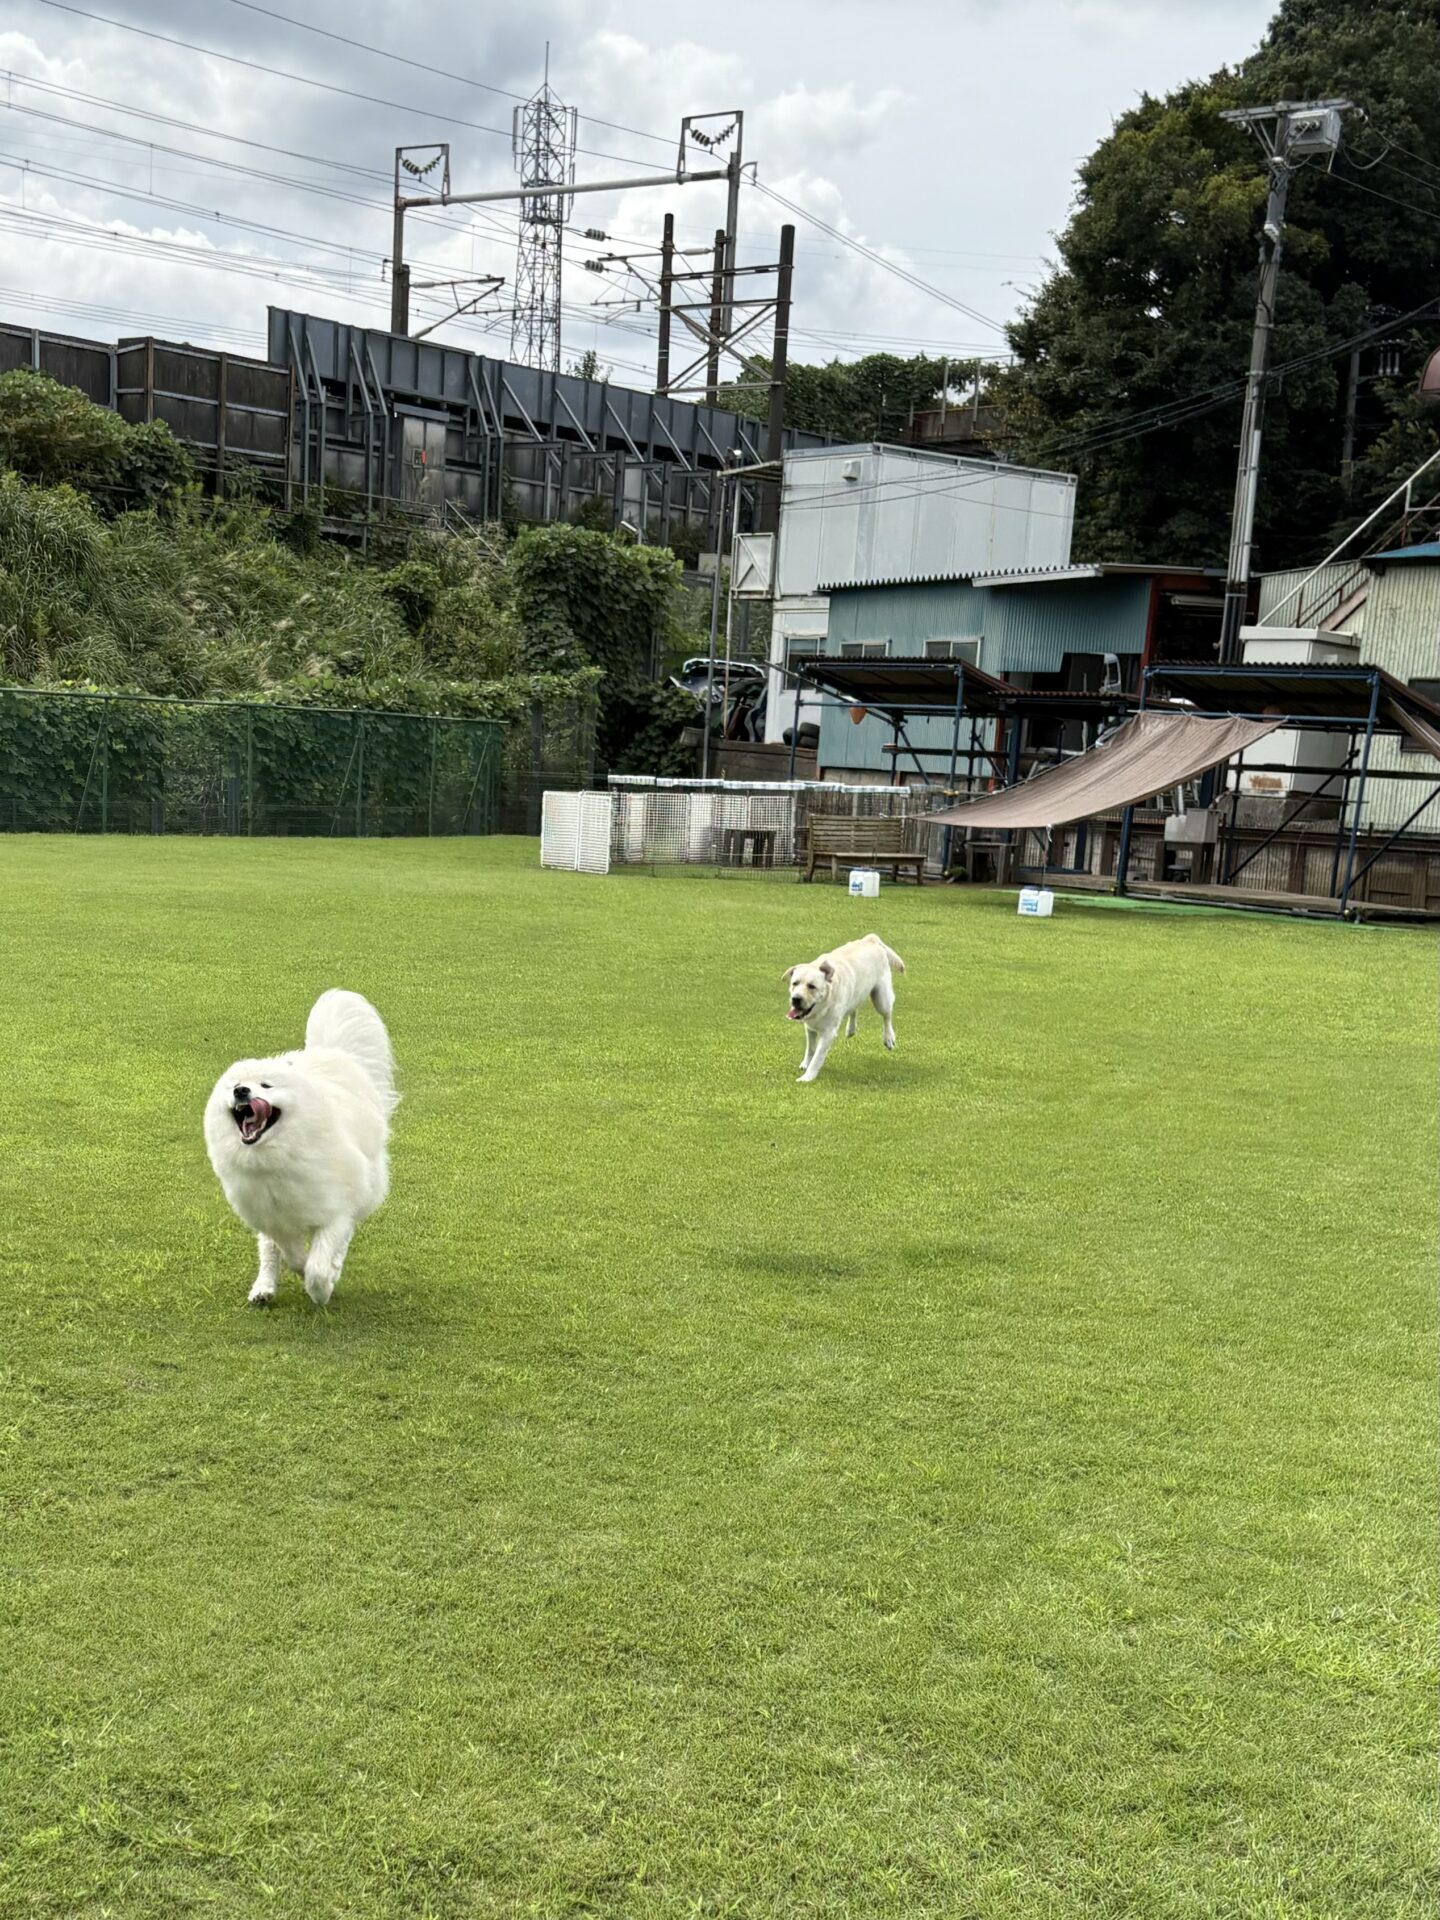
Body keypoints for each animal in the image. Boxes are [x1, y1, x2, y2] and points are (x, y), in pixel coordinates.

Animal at [203, 990, 398, 1307]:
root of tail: (334, 1054)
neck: (274, 1159)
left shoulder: (334, 1211)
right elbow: (290, 1254)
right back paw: (263, 1288)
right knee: (268, 1251)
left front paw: (322, 1287)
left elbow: (318, 1264)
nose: (240, 1091)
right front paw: (301, 1272)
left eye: (266, 1086)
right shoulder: (273, 1216)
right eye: (235, 1085)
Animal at [783, 933, 905, 1083]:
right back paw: (851, 1028)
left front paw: (808, 1076)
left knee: (887, 1016)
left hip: (881, 998)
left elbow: (817, 1056)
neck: (823, 1005)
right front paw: (806, 1063)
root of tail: (870, 938)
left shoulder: (828, 1033)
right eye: (795, 983)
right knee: (854, 1007)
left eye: (812, 986)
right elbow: (810, 1049)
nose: (795, 999)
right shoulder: (810, 1027)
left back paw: (888, 1038)